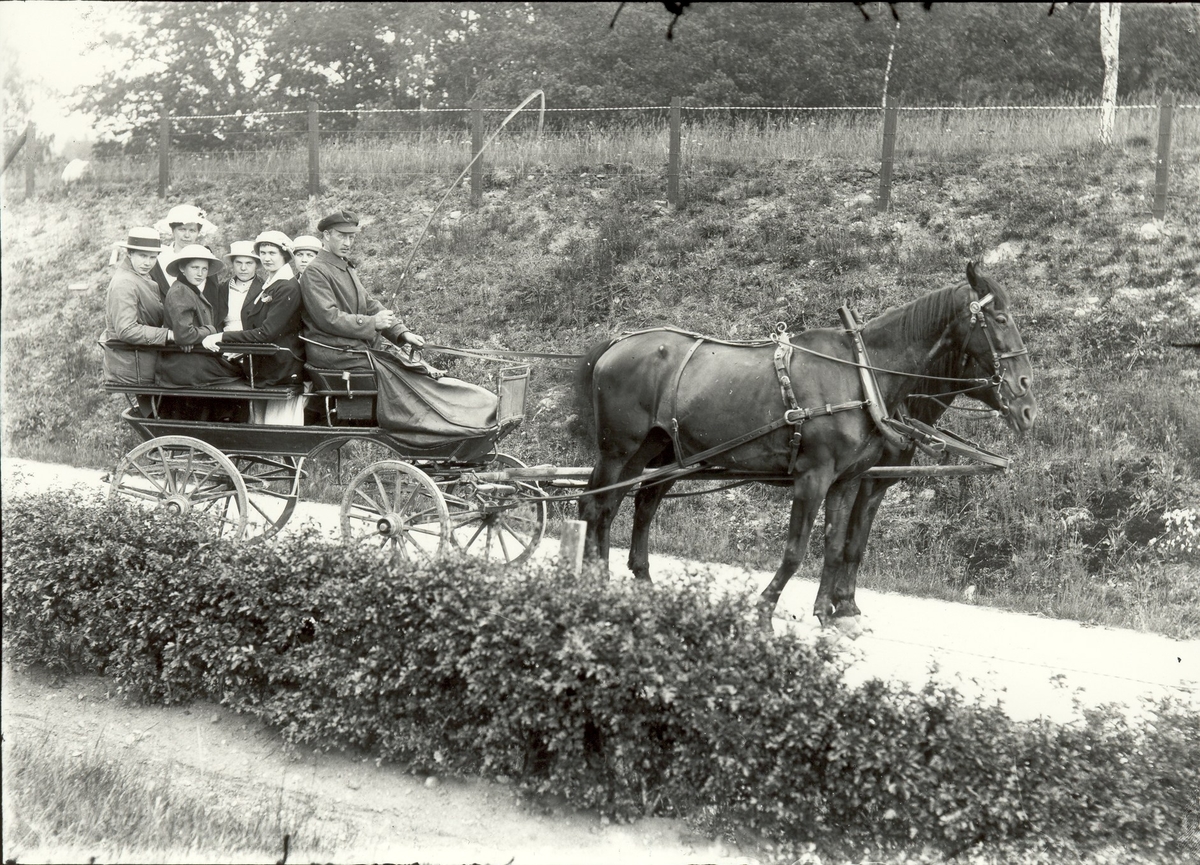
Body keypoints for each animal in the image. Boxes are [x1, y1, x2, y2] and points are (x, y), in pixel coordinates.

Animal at [575, 262, 1036, 632]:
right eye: (999, 318)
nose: (1027, 401)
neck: (863, 378)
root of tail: (616, 344)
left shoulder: (848, 481)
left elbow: (838, 545)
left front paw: (830, 611)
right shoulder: (815, 478)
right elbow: (799, 550)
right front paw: (767, 609)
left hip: (660, 453)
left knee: (630, 505)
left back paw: (635, 580)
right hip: (619, 450)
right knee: (595, 506)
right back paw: (593, 582)